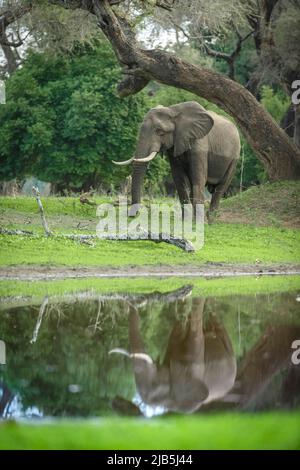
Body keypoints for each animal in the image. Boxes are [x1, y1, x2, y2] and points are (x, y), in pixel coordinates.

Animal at [113, 102, 241, 218]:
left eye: (160, 131)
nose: (132, 215)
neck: (173, 110)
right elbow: (179, 177)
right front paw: (186, 220)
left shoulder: (200, 144)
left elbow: (198, 177)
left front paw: (197, 221)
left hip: (234, 158)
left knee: (220, 187)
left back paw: (211, 218)